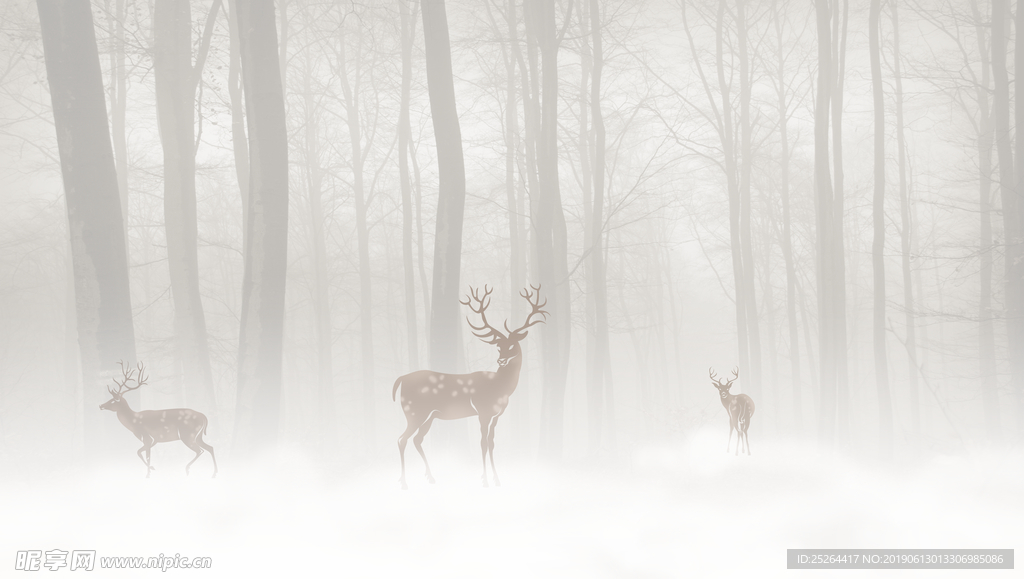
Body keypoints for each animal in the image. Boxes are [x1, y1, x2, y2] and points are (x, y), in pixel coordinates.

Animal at [393, 284, 552, 487]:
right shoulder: (482, 411)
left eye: (512, 345)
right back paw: (404, 482)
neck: (500, 388)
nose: (501, 361)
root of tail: (401, 379)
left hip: (429, 415)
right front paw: (484, 480)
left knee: (417, 439)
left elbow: (491, 442)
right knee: (402, 438)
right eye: (499, 347)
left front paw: (497, 479)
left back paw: (431, 477)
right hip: (414, 411)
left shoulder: (496, 415)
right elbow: (482, 442)